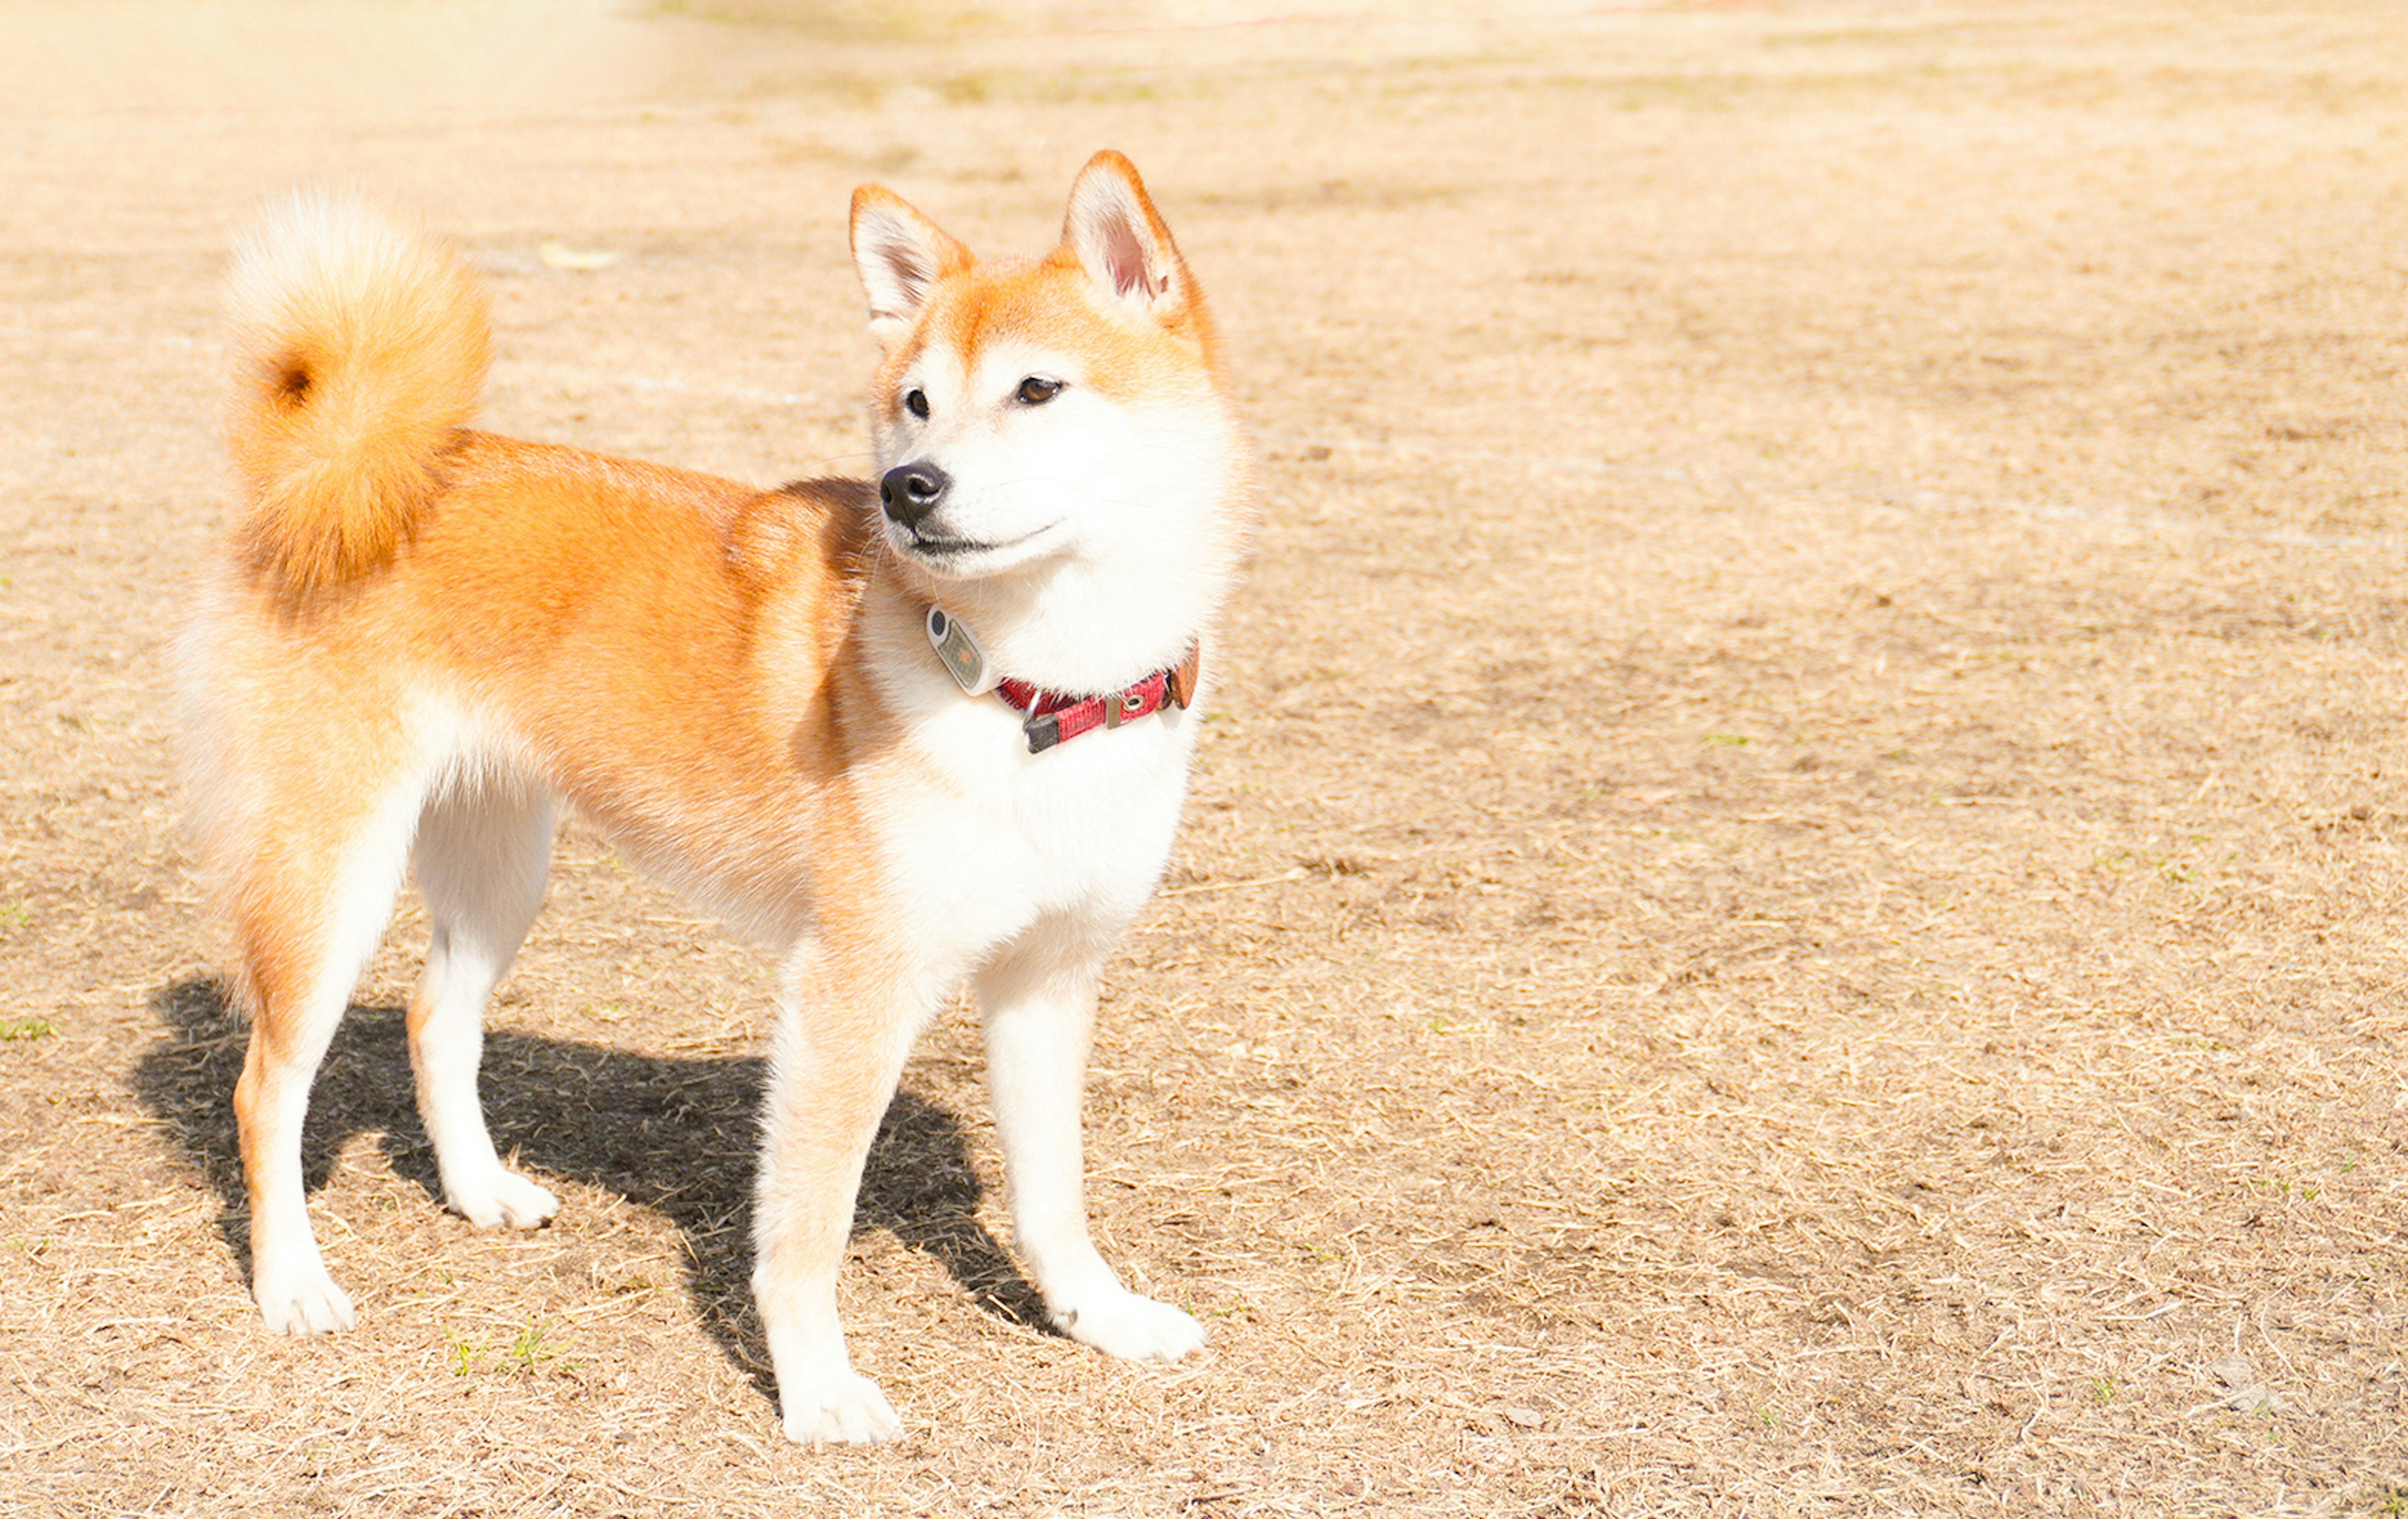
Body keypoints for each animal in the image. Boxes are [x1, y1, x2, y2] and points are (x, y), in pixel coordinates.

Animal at [178, 154, 1252, 1454]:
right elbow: (807, 1226)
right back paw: (292, 1280)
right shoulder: (851, 992)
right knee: (267, 1088)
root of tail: (332, 467)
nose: (908, 487)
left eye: (1038, 388)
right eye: (917, 402)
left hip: (501, 863)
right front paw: (818, 1387)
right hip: (331, 877)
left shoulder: (1045, 982)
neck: (1034, 690)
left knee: (439, 1020)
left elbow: (1054, 1196)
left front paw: (1098, 1315)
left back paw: (481, 1191)